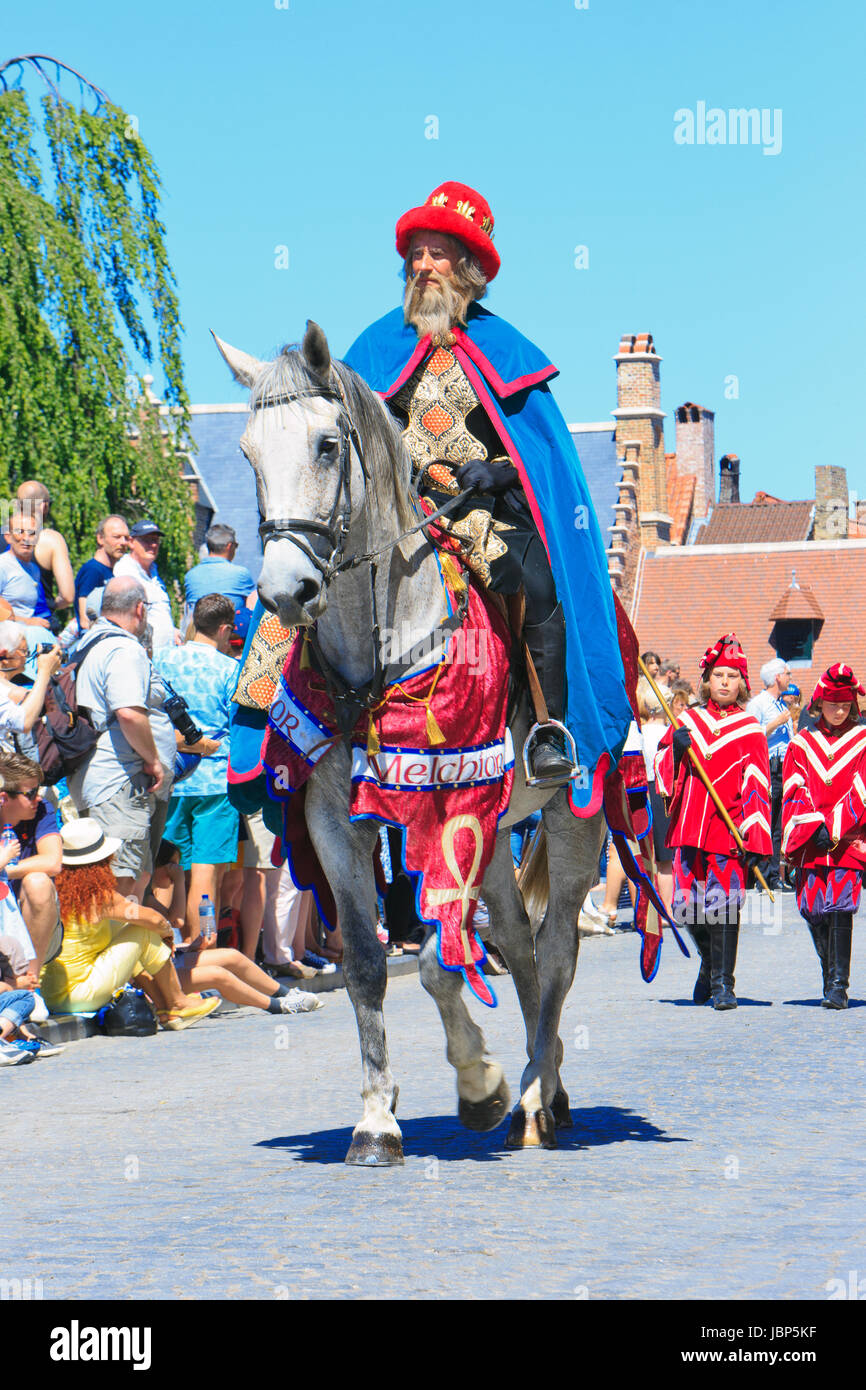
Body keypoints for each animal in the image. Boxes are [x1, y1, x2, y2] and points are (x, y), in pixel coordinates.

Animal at [215, 319, 606, 1156]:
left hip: (572, 816)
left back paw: (532, 1097)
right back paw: (547, 1086)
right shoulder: (335, 825)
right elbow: (369, 962)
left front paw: (482, 1086)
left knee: (556, 948)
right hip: (504, 833)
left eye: (328, 444)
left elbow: (436, 956)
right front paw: (375, 1119)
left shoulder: (457, 812)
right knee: (520, 943)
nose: (285, 590)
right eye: (249, 453)